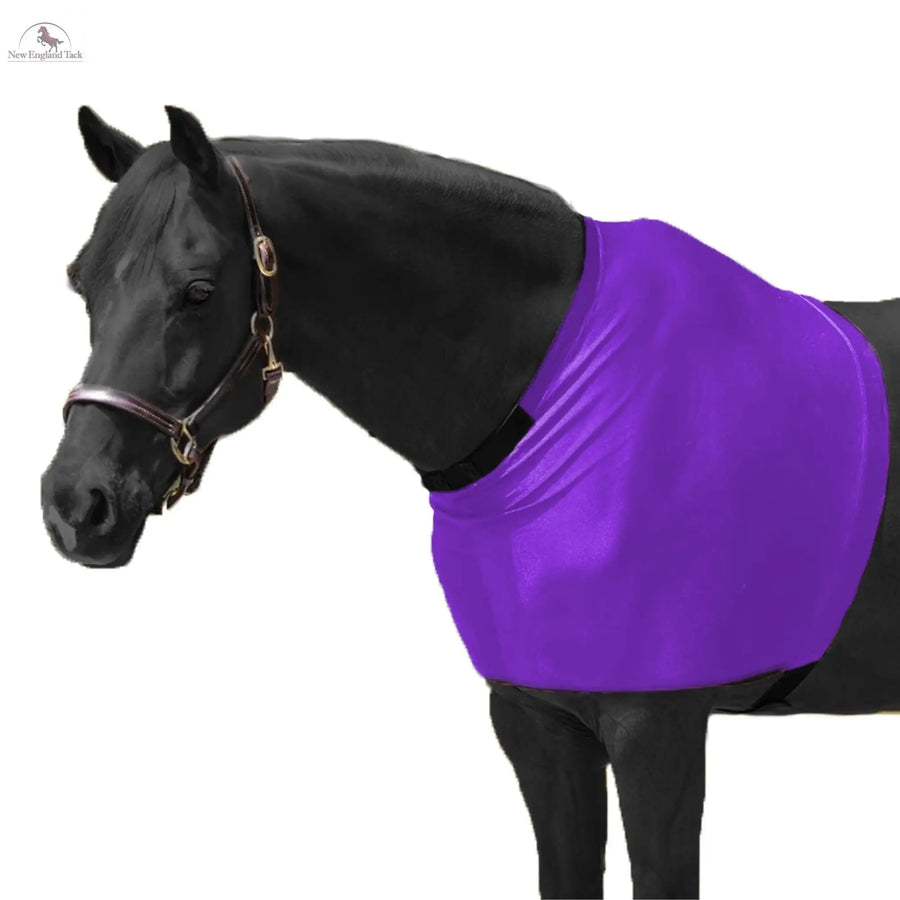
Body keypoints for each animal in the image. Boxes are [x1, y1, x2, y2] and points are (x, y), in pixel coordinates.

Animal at [41, 106, 900, 899]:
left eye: (198, 289)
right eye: (82, 281)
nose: (76, 504)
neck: (557, 402)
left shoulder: (659, 729)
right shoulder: (538, 720)